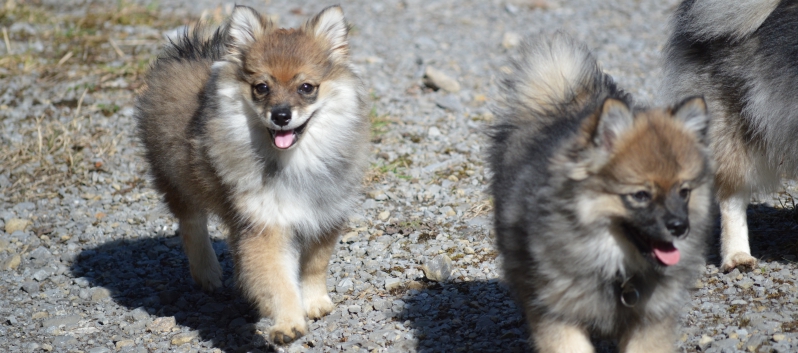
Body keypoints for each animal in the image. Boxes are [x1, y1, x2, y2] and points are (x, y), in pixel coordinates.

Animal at [135, 4, 372, 344]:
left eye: (306, 87)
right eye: (262, 87)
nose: (281, 115)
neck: (292, 162)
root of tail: (188, 55)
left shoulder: (324, 217)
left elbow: (314, 266)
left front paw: (314, 302)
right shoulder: (264, 226)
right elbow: (278, 281)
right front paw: (289, 323)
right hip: (177, 178)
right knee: (191, 223)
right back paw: (207, 272)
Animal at [490, 31, 716, 350]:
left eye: (684, 192)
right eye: (640, 195)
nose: (680, 227)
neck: (618, 270)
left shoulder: (651, 320)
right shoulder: (556, 313)